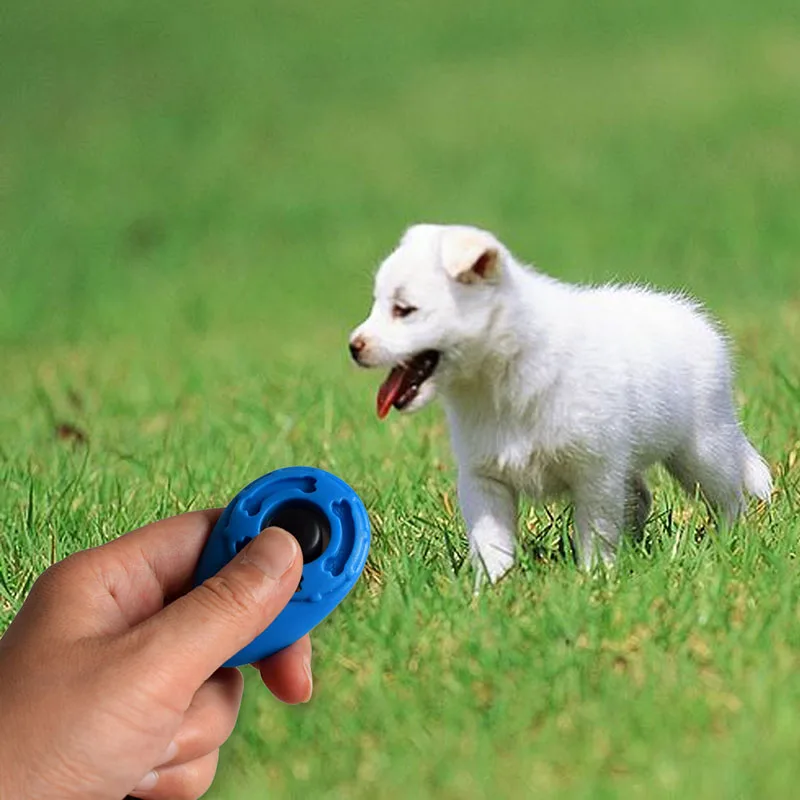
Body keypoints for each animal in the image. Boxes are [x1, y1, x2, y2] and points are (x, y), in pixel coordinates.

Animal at [346, 225, 772, 588]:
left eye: (404, 309)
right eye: (377, 303)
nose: (354, 346)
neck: (503, 374)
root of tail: (694, 318)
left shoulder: (595, 474)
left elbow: (595, 533)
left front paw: (594, 581)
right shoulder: (484, 478)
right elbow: (492, 542)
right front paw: (492, 594)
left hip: (702, 451)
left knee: (729, 497)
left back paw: (729, 544)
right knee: (640, 497)